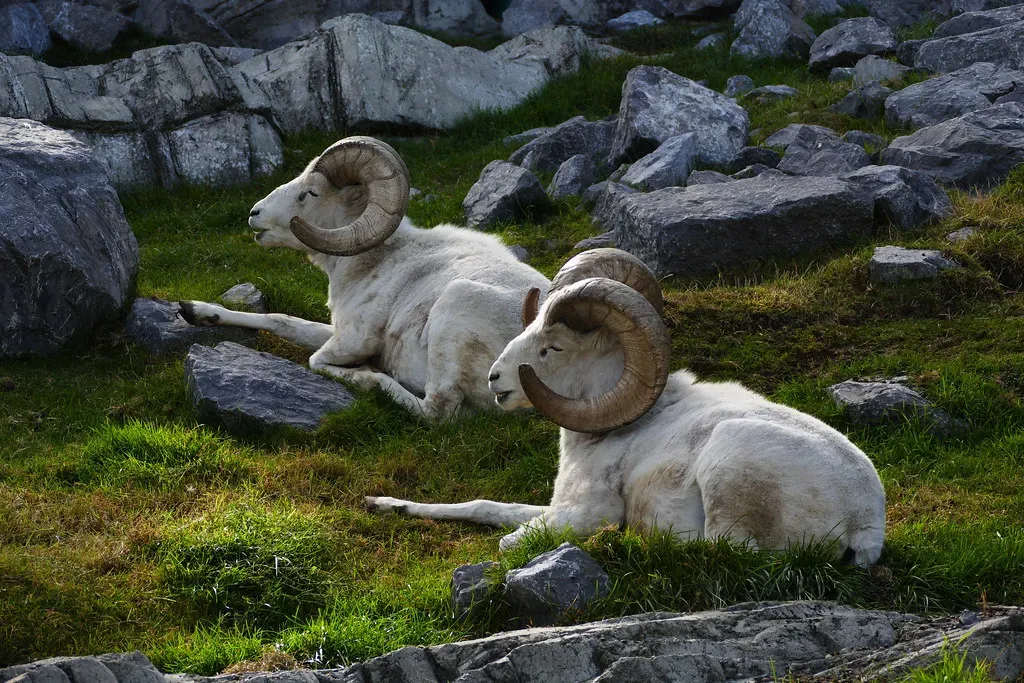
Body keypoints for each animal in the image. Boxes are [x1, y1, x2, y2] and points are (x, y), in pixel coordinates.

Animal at [180, 136, 550, 420]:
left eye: (310, 193)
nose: (254, 214)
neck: (373, 262)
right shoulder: (335, 329)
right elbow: (282, 321)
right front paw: (196, 311)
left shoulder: (353, 339)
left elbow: (315, 359)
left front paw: (364, 372)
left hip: (456, 306)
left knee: (438, 412)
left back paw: (375, 378)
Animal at [366, 248, 887, 566]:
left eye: (552, 348)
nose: (495, 380)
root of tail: (864, 523)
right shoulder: (554, 504)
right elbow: (487, 506)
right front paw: (385, 505)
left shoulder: (579, 513)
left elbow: (511, 537)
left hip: (728, 464)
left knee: (721, 551)